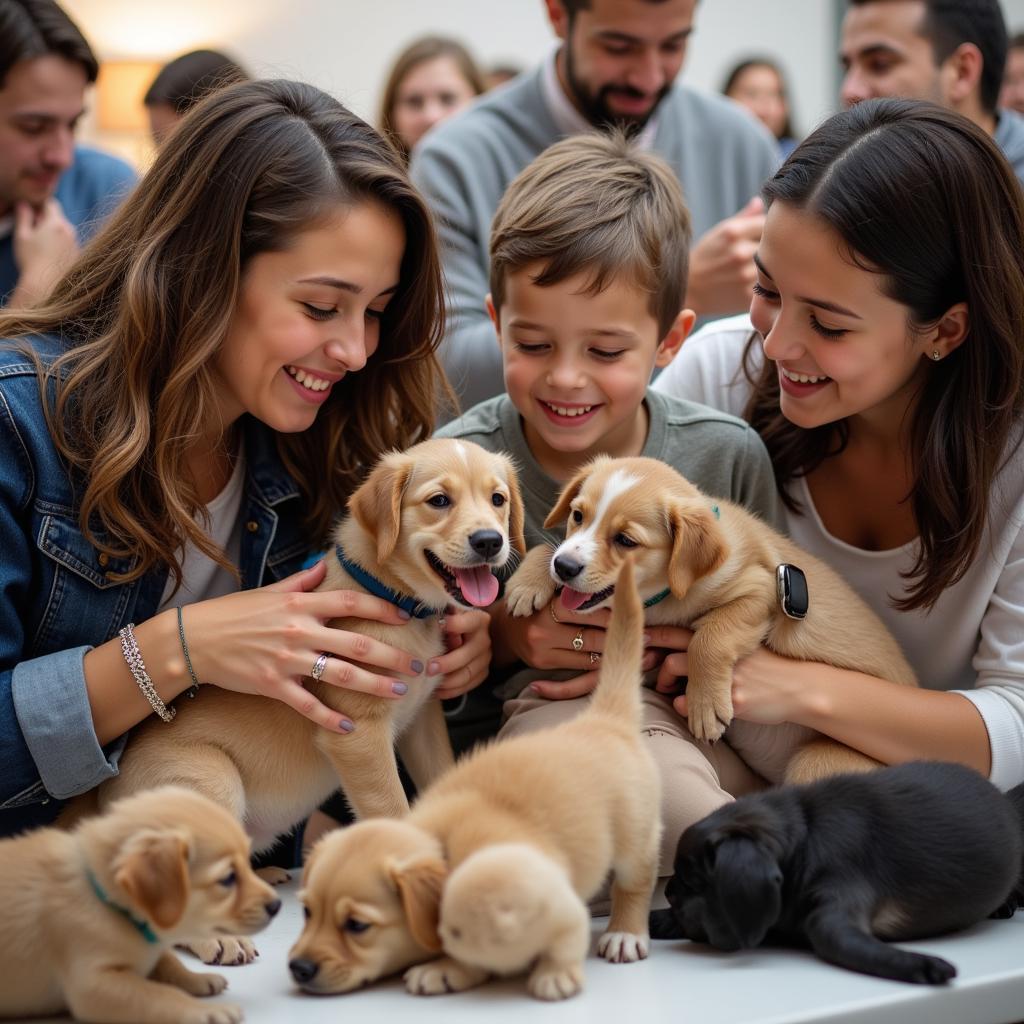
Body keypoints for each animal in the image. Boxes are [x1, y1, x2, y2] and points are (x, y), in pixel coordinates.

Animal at [0, 786, 280, 1024]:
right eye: (228, 878)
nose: (277, 905)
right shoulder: (93, 984)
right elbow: (156, 996)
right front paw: (205, 1011)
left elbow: (168, 962)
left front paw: (199, 979)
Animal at [292, 561, 663, 999]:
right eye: (306, 912)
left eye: (357, 926)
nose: (298, 968)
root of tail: (603, 717)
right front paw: (449, 968)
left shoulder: (551, 893)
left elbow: (561, 932)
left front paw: (554, 975)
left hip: (634, 838)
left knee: (637, 880)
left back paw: (625, 933)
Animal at [507, 456, 917, 782]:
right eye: (578, 516)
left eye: (625, 540)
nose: (565, 567)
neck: (664, 594)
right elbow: (545, 547)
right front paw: (526, 583)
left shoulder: (761, 589)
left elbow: (710, 638)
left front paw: (704, 706)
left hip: (816, 761)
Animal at [651, 761, 1019, 983]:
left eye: (695, 881)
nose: (668, 892)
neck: (805, 836)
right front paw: (656, 919)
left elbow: (829, 932)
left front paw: (921, 964)